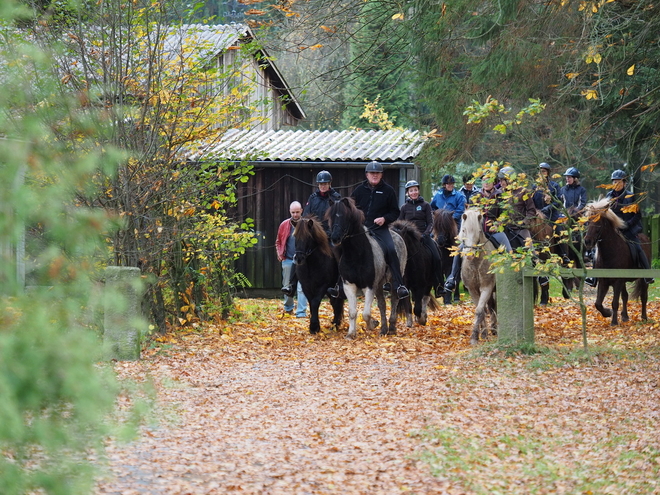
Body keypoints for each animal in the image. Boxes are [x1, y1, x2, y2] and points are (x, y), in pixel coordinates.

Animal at [326, 200, 408, 340]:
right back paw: (383, 329)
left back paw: (391, 328)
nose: (335, 238)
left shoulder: (369, 286)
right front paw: (351, 334)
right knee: (382, 304)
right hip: (379, 284)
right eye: (331, 217)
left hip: (393, 280)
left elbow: (366, 313)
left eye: (345, 217)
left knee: (394, 300)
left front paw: (373, 323)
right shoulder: (349, 286)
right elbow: (353, 312)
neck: (356, 254)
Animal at [456, 209, 498, 344]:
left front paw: (474, 336)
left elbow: (479, 310)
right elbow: (481, 310)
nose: (469, 255)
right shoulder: (472, 289)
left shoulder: (486, 287)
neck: (475, 264)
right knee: (491, 306)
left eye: (479, 231)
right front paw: (482, 334)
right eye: (463, 230)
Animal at [584, 200, 648, 328]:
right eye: (588, 221)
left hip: (642, 279)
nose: (587, 241)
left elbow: (614, 302)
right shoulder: (604, 282)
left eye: (599, 222)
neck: (610, 253)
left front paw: (613, 322)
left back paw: (644, 317)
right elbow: (598, 303)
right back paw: (625, 317)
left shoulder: (617, 281)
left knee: (643, 296)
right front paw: (608, 313)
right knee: (625, 296)